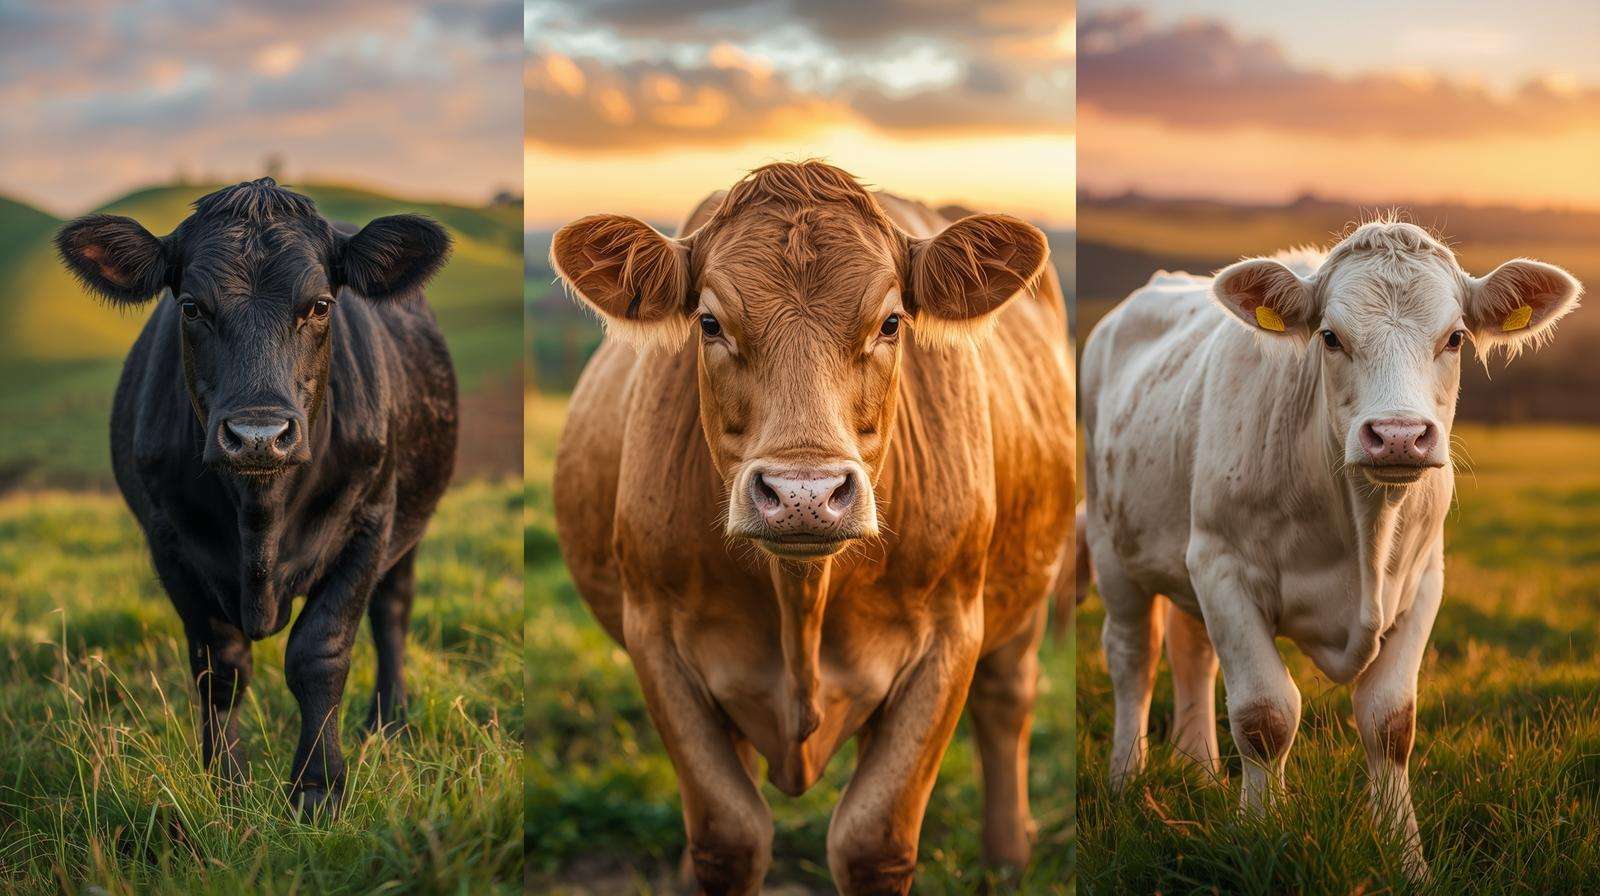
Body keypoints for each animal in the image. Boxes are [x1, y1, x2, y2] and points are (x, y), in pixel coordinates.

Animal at [54, 178, 458, 820]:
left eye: (320, 305)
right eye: (191, 307)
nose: (258, 435)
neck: (260, 517)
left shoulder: (370, 521)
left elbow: (319, 653)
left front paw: (317, 788)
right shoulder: (170, 541)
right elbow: (220, 666)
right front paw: (228, 788)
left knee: (392, 609)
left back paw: (388, 722)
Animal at [551, 161, 1075, 894]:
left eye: (890, 322)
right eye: (709, 322)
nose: (805, 494)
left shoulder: (951, 634)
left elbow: (873, 842)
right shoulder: (653, 632)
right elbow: (729, 835)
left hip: (1029, 589)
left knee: (1007, 700)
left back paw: (1007, 861)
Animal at [1080, 218, 1582, 878]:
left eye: (1454, 337)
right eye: (1330, 337)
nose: (1398, 436)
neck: (1361, 528)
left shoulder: (1424, 580)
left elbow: (1391, 721)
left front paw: (1406, 859)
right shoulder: (1221, 566)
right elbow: (1265, 714)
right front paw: (1259, 834)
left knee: (1192, 654)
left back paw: (1201, 775)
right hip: (1111, 548)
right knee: (1133, 658)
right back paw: (1125, 780)